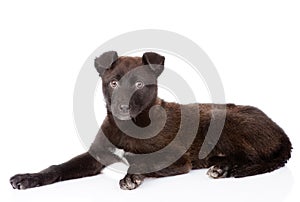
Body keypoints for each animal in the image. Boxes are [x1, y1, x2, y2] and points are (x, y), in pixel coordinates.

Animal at [10, 51, 292, 189]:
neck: (130, 127)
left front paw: (131, 176)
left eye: (138, 84)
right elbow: (57, 167)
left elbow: (142, 161)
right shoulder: (96, 155)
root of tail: (283, 132)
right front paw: (29, 177)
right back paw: (222, 167)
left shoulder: (176, 159)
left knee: (253, 157)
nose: (122, 107)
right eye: (113, 83)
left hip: (226, 120)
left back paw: (224, 168)